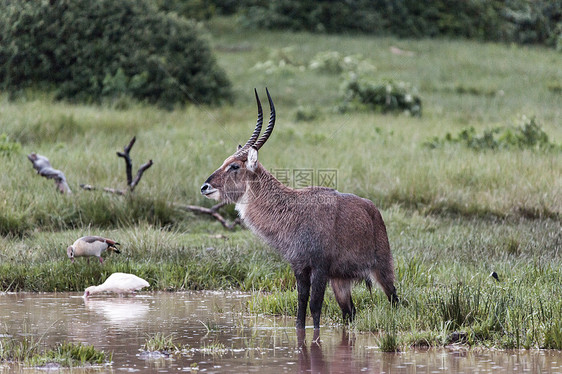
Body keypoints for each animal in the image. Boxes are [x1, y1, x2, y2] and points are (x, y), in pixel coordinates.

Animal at [199, 89, 396, 334]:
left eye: (234, 166)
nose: (205, 187)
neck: (292, 209)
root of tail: (373, 210)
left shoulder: (319, 267)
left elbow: (315, 306)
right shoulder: (299, 267)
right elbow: (301, 307)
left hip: (382, 268)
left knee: (395, 299)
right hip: (340, 280)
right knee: (350, 312)